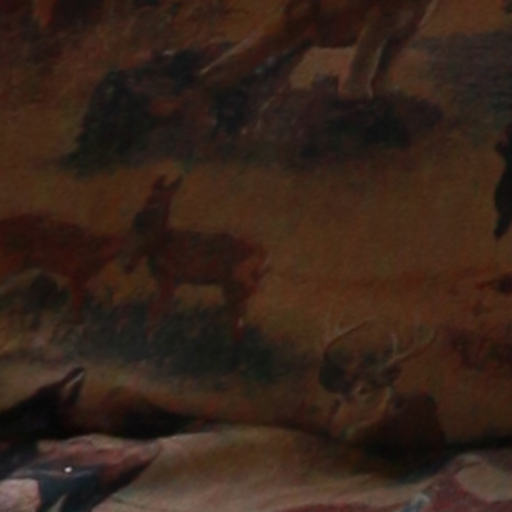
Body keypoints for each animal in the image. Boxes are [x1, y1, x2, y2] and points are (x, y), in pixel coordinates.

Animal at [121, 175, 269, 342]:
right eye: (149, 198)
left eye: (153, 200)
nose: (138, 217)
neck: (161, 242)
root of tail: (264, 256)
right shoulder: (170, 281)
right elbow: (160, 311)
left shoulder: (168, 278)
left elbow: (155, 312)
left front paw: (150, 339)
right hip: (238, 287)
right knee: (239, 320)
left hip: (234, 284)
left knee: (238, 320)